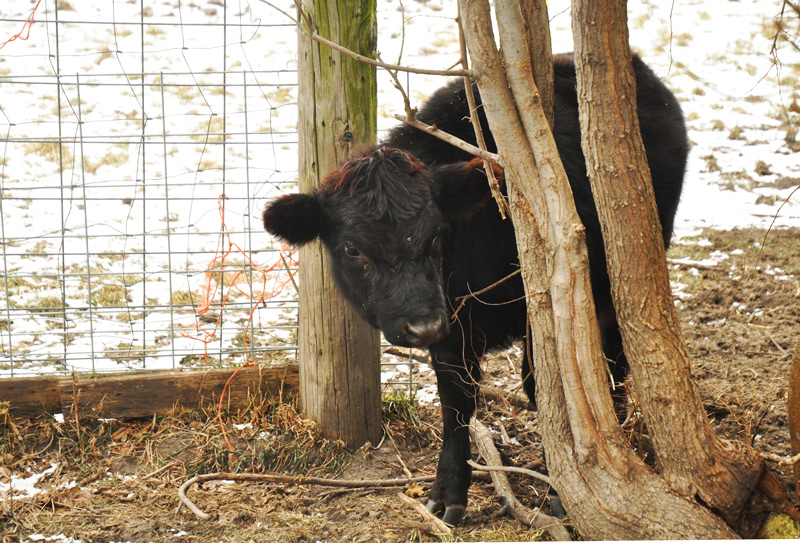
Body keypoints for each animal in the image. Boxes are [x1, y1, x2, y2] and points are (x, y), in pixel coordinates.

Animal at [262, 53, 688, 524]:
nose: (422, 326)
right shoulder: (453, 333)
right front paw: (448, 490)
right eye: (353, 248)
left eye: (437, 234)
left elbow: (547, 389)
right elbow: (457, 403)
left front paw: (568, 484)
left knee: (612, 358)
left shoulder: (541, 309)